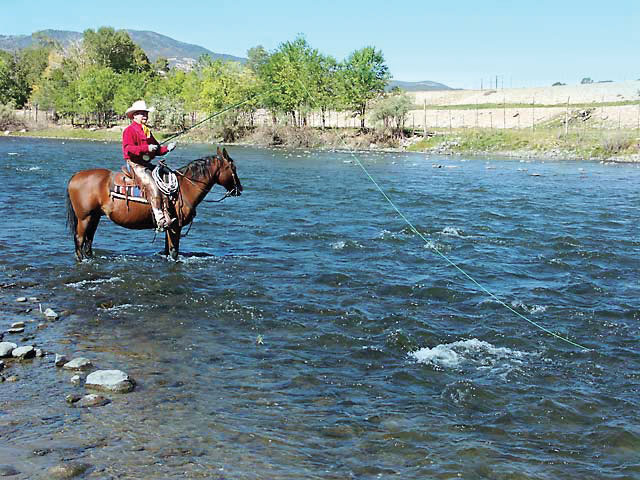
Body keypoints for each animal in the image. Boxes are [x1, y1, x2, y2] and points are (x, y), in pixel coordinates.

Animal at [66, 146, 242, 260]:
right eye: (233, 167)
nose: (239, 188)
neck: (184, 187)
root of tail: (75, 176)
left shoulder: (169, 228)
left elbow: (167, 251)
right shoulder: (175, 227)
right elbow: (174, 252)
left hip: (95, 217)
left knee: (88, 242)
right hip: (84, 217)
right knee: (80, 240)